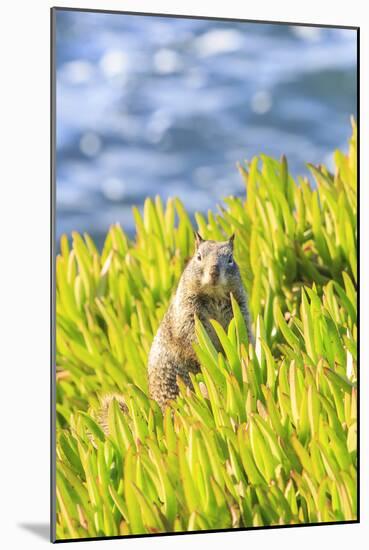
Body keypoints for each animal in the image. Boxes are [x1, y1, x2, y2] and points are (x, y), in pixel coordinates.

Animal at [147, 233, 253, 410]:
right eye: (198, 256)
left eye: (230, 259)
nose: (214, 272)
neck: (215, 296)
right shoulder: (188, 315)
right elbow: (192, 339)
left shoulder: (240, 310)